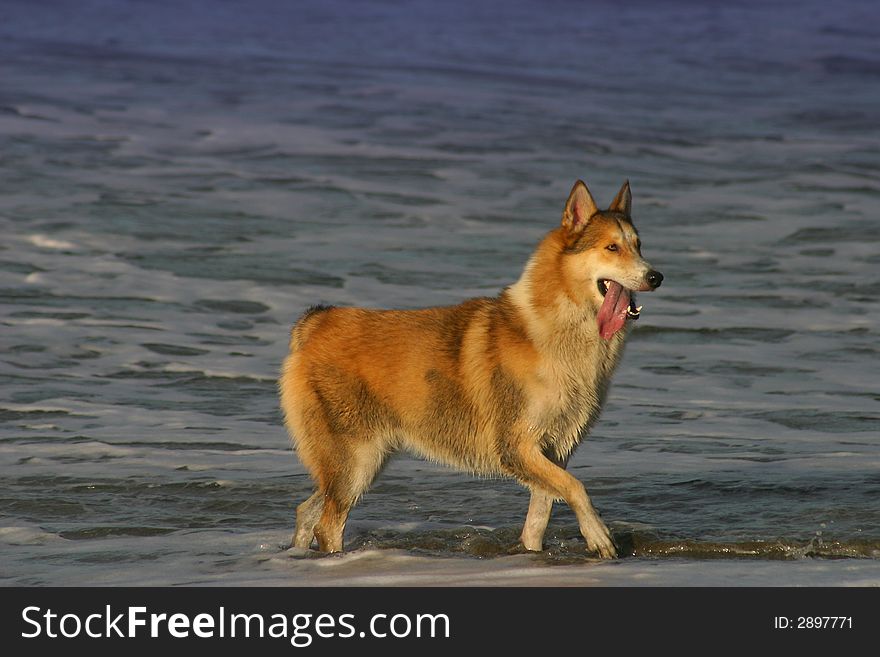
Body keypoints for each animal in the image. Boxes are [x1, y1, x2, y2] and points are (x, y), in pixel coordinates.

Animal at [278, 177, 664, 556]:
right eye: (611, 248)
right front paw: (599, 537)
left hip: (360, 464)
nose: (656, 277)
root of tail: (315, 322)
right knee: (328, 524)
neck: (559, 328)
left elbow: (538, 519)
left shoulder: (554, 452)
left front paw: (531, 553)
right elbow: (576, 487)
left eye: (639, 246)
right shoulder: (518, 446)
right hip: (358, 459)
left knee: (307, 511)